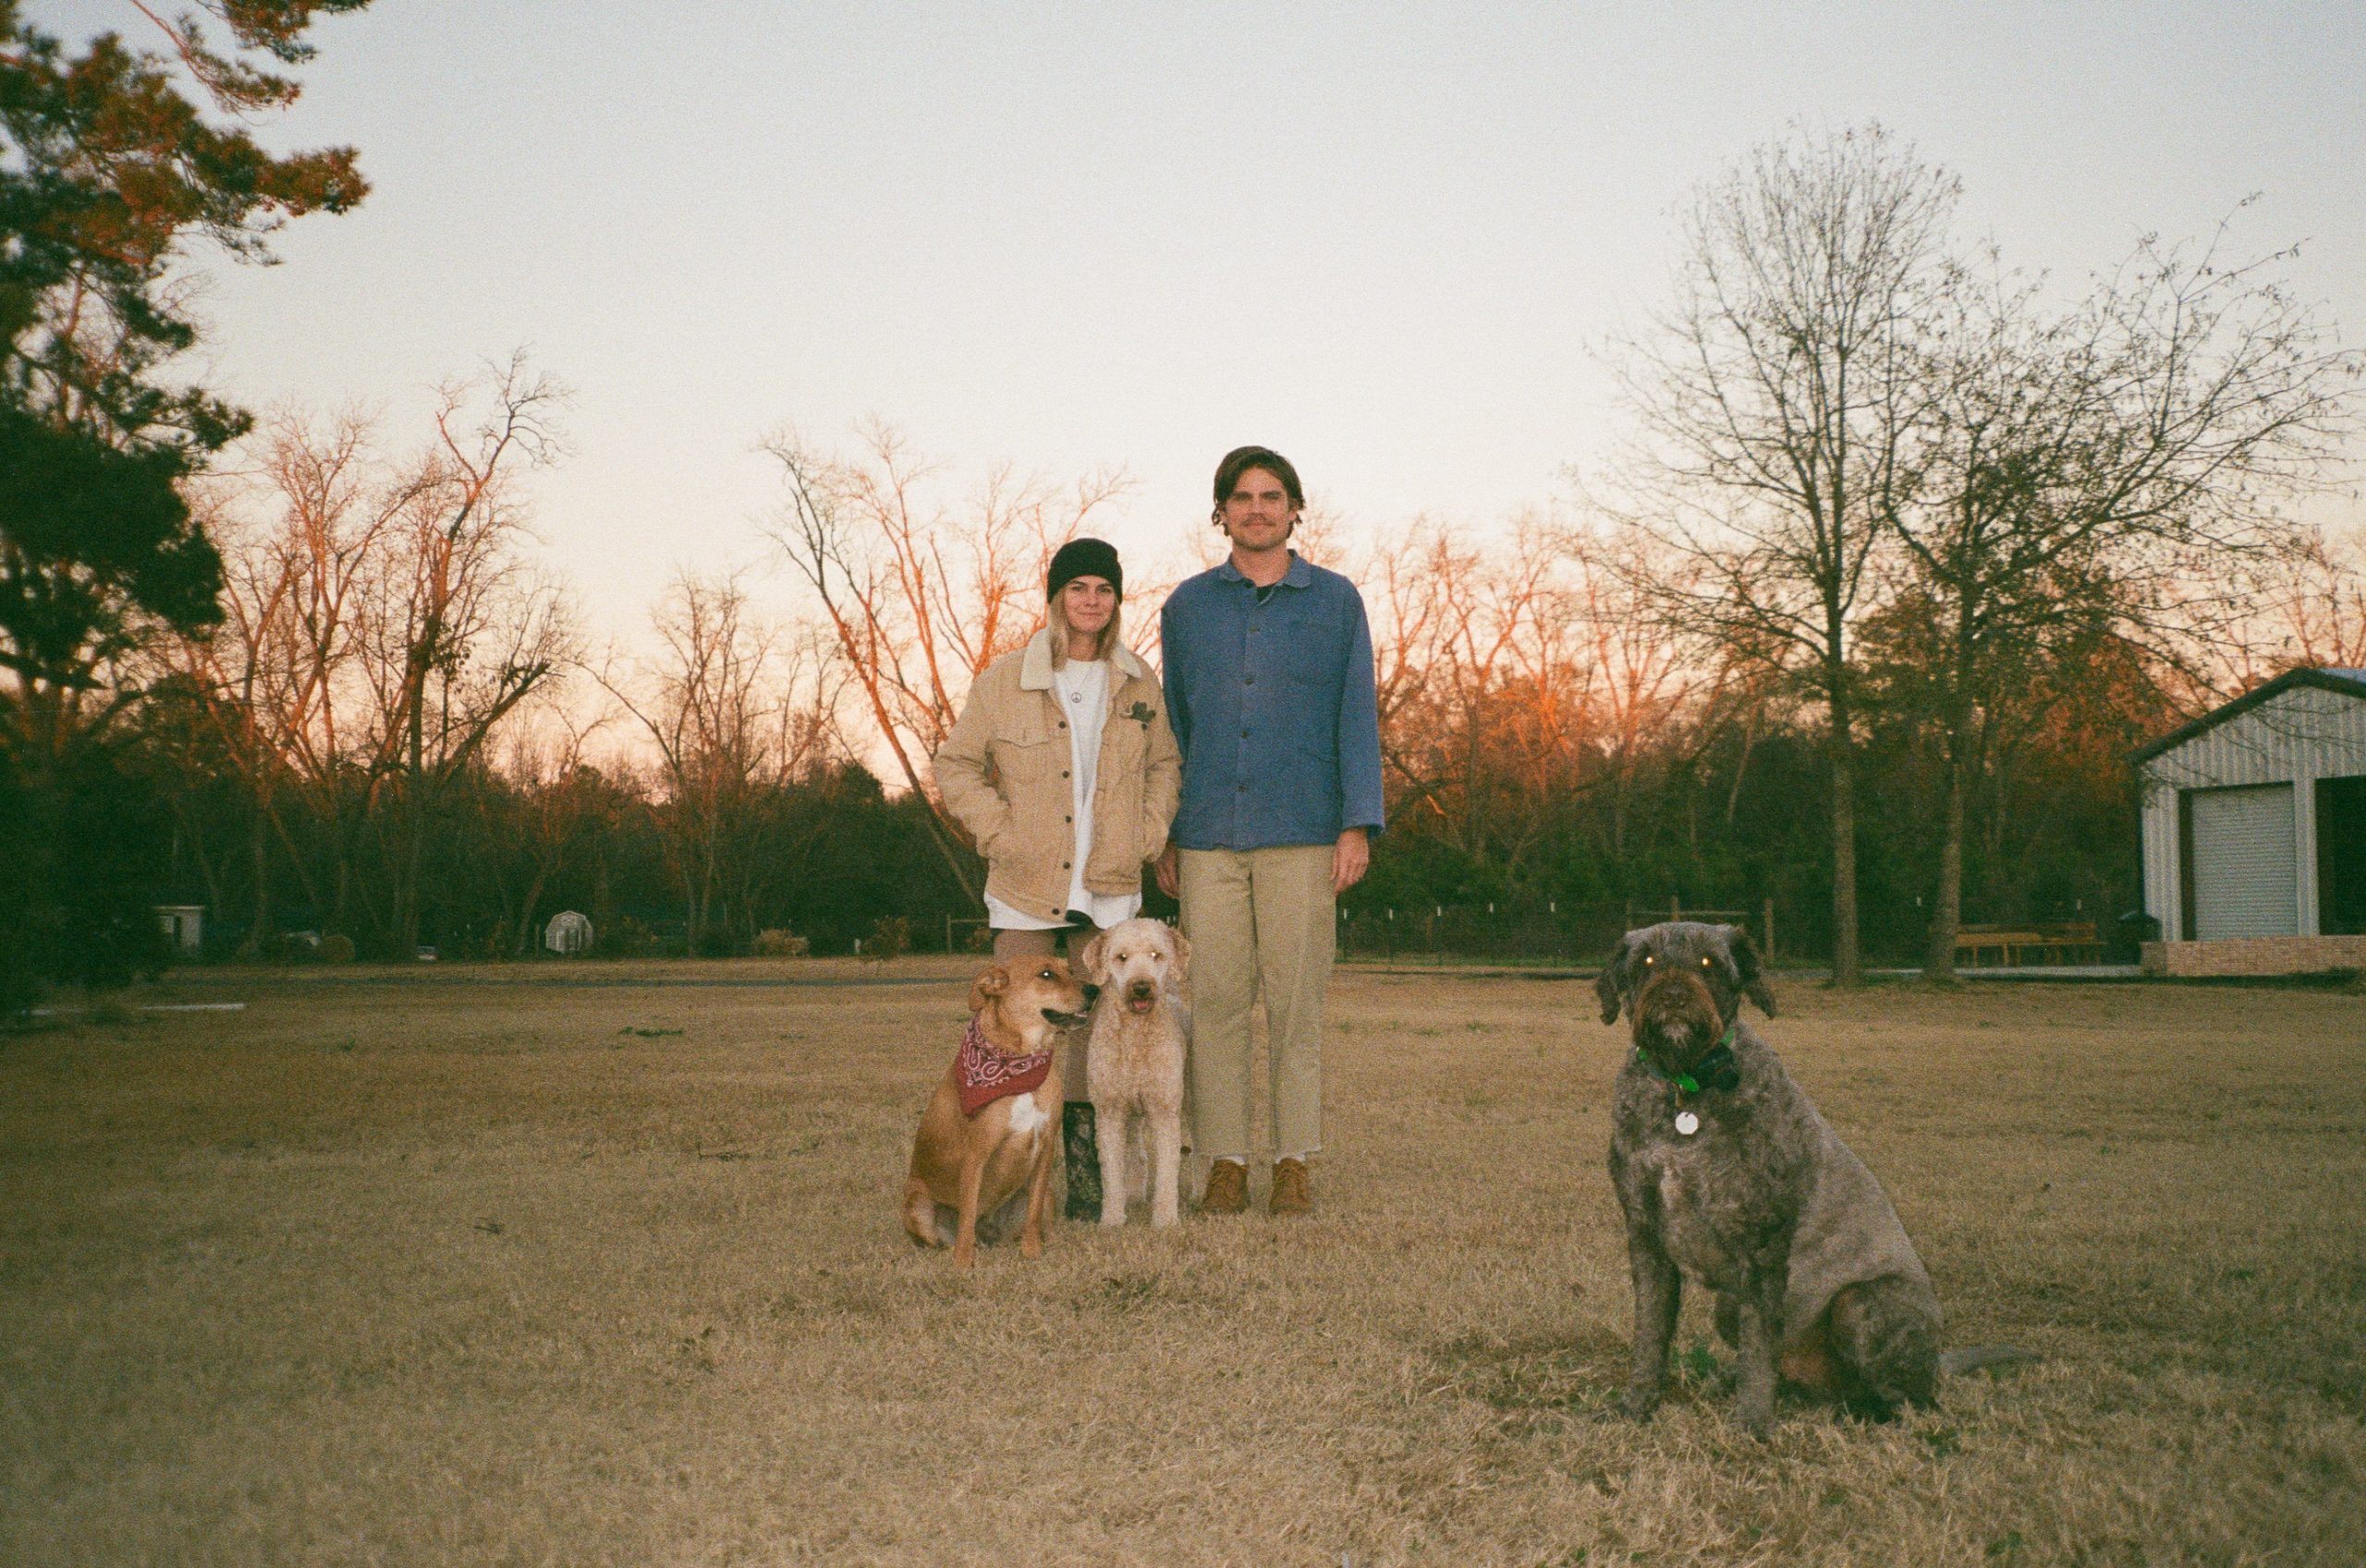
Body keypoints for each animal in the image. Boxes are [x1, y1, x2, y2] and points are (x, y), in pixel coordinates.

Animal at [1079, 922, 1192, 1229]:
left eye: (1156, 954)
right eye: (1122, 957)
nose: (1141, 987)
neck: (1135, 1034)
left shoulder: (1164, 1108)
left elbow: (1167, 1169)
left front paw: (1165, 1219)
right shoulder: (1110, 1110)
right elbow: (1111, 1170)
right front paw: (1112, 1218)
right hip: (1131, 1113)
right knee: (1135, 1152)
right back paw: (1135, 1195)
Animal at [1599, 927, 1949, 1438]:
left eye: (1708, 962)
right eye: (1646, 960)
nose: (1675, 996)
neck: (1686, 1091)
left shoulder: (1763, 1247)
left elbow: (1758, 1351)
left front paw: (1752, 1424)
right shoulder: (1646, 1238)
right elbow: (1650, 1336)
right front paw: (1636, 1404)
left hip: (1860, 1303)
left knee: (1911, 1400)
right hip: (1729, 1305)